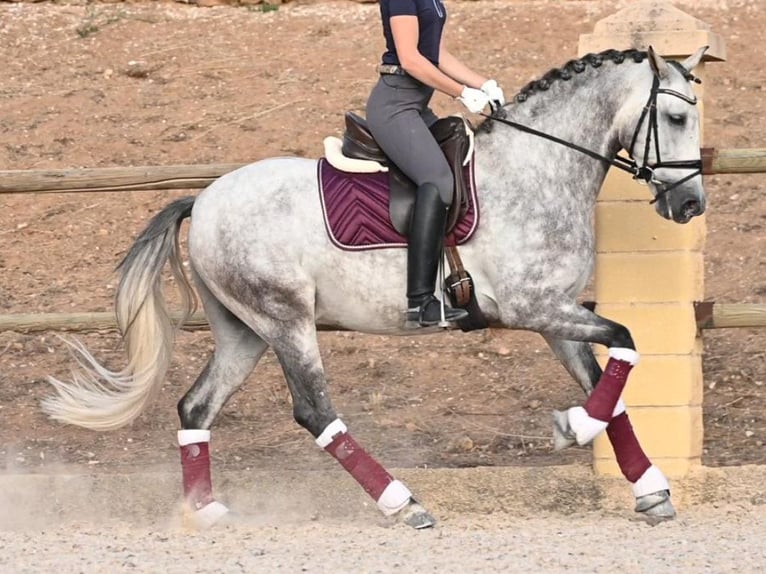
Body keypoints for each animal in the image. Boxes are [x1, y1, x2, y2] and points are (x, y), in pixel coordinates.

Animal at [45, 47, 708, 532]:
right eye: (676, 119)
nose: (690, 205)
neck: (536, 169)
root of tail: (203, 199)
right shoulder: (533, 307)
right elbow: (626, 342)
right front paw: (575, 428)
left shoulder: (553, 315)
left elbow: (608, 385)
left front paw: (647, 487)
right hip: (286, 321)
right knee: (314, 410)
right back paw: (402, 502)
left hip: (244, 332)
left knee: (196, 407)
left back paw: (205, 510)